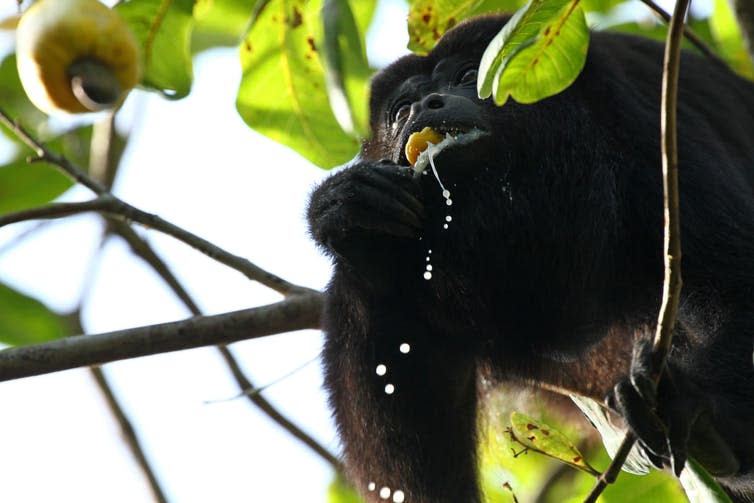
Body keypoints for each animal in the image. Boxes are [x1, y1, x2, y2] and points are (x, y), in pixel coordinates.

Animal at [306, 13, 752, 502]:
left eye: (469, 76)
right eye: (401, 110)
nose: (426, 104)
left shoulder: (646, 118)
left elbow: (727, 275)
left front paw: (705, 410)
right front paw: (348, 209)